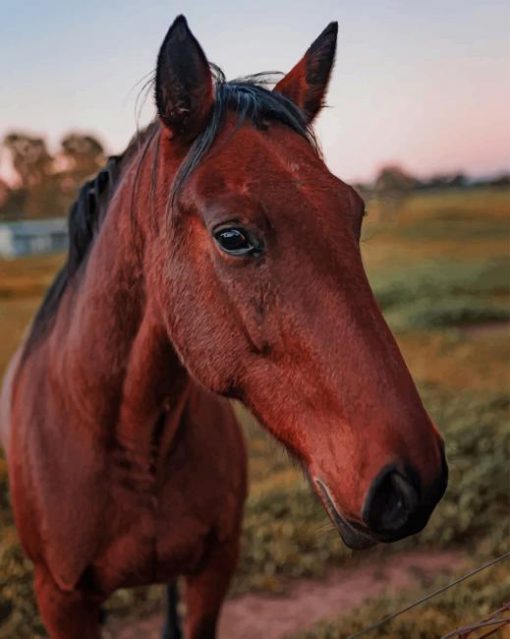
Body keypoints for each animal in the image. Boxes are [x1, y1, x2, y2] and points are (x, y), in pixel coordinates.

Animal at [0, 15, 446, 639]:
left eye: (354, 214)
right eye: (232, 236)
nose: (411, 482)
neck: (125, 440)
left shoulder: (215, 568)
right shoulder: (61, 600)